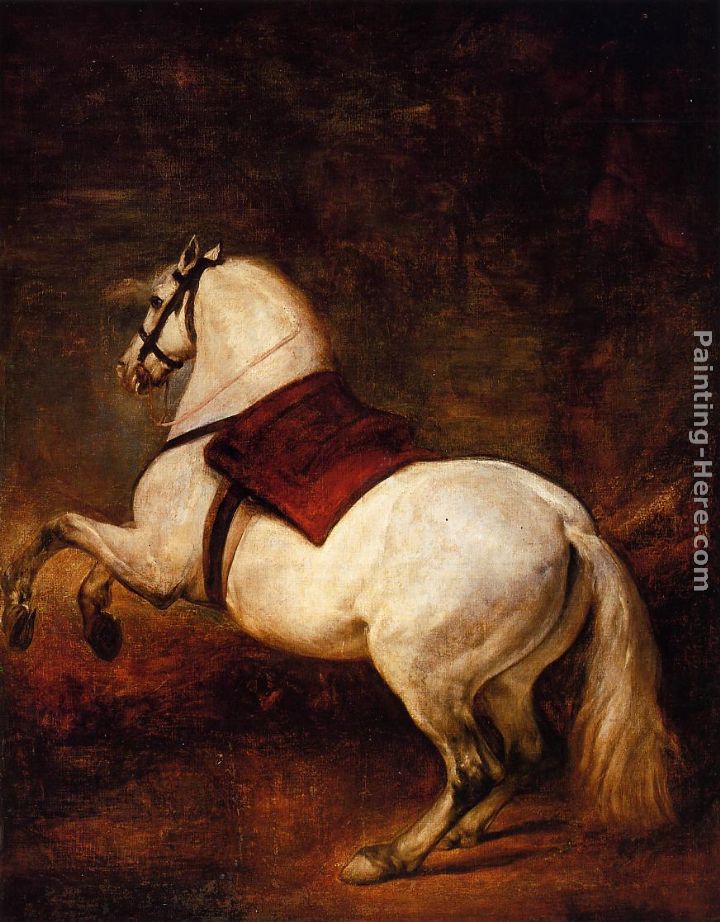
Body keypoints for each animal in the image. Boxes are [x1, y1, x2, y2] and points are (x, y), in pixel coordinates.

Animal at [1, 236, 677, 885]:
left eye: (157, 298)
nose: (127, 370)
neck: (226, 424)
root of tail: (567, 523)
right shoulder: (152, 558)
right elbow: (91, 559)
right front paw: (101, 629)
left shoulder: (160, 565)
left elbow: (60, 529)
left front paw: (20, 615)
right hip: (507, 680)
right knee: (531, 755)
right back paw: (462, 833)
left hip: (425, 678)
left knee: (472, 769)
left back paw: (388, 858)